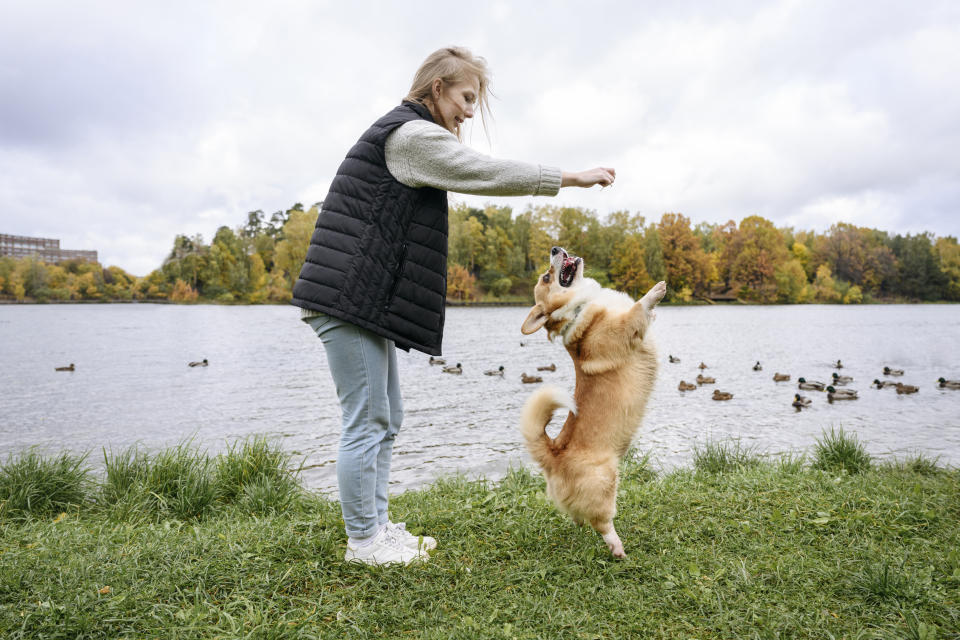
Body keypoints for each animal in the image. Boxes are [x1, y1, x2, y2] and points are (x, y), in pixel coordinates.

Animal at [520, 245, 664, 556]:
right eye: (546, 277)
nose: (555, 248)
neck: (580, 306)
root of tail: (553, 453)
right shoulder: (622, 329)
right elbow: (638, 309)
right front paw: (655, 292)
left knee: (578, 515)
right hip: (605, 481)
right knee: (602, 523)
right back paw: (618, 548)